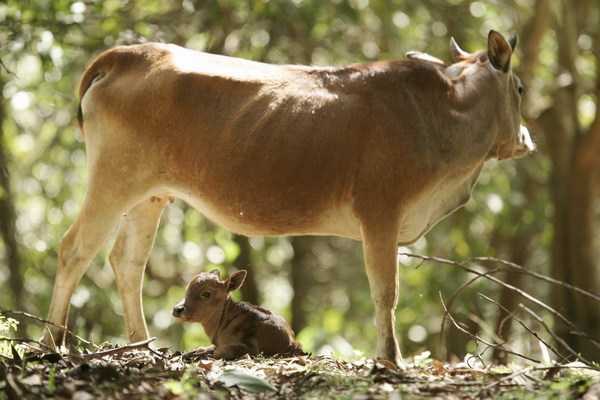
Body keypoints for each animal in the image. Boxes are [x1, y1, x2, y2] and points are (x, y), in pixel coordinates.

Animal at [43, 30, 536, 368]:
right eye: (521, 88)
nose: (526, 140)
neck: (440, 114)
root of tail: (127, 54)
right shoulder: (381, 211)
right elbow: (385, 291)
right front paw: (390, 360)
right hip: (114, 179)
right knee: (74, 249)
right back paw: (52, 343)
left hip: (150, 194)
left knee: (127, 262)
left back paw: (142, 345)